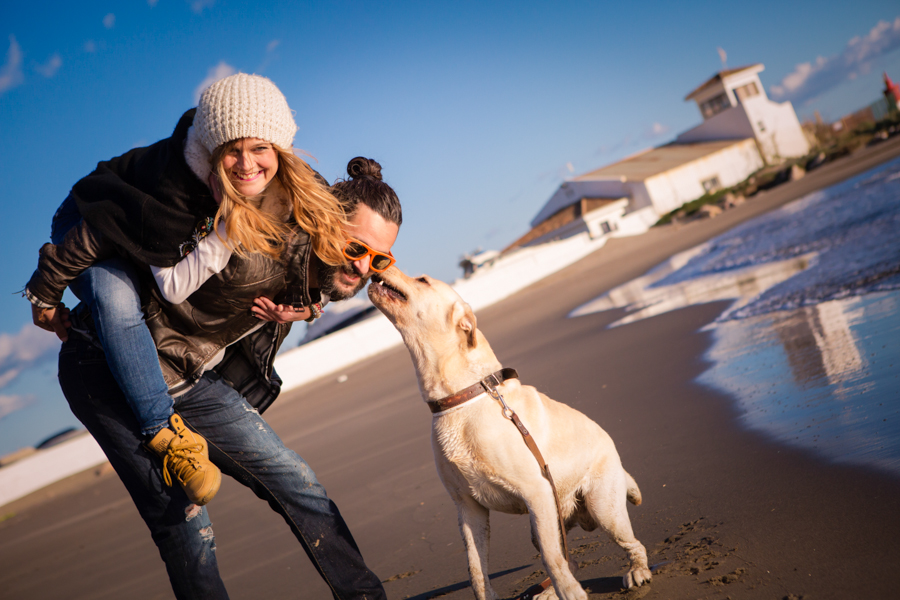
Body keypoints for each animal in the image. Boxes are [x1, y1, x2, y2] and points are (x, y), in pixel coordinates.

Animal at [370, 268, 652, 600]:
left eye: (423, 280)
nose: (380, 263)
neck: (464, 398)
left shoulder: (536, 492)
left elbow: (551, 558)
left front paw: (571, 593)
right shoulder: (468, 508)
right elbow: (476, 569)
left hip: (600, 507)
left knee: (628, 544)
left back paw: (637, 571)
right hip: (547, 520)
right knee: (569, 558)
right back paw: (548, 593)